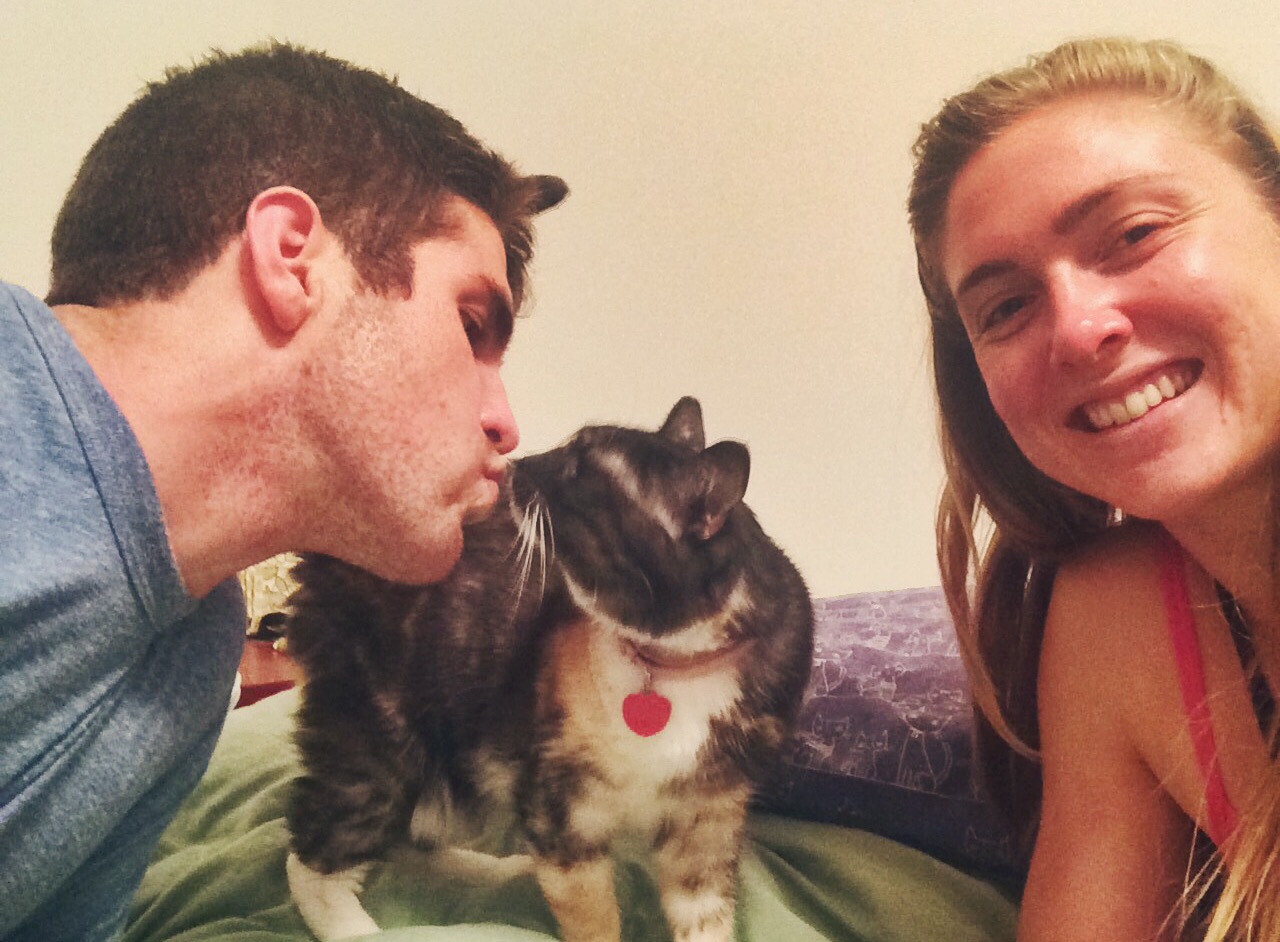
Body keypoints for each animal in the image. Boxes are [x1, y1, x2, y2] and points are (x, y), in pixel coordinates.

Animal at [283, 397, 814, 942]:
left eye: (579, 468)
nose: (514, 466)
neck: (668, 668)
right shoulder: (562, 808)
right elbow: (592, 917)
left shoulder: (706, 821)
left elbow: (705, 919)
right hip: (385, 748)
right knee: (311, 854)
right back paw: (356, 926)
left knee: (416, 837)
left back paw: (494, 867)